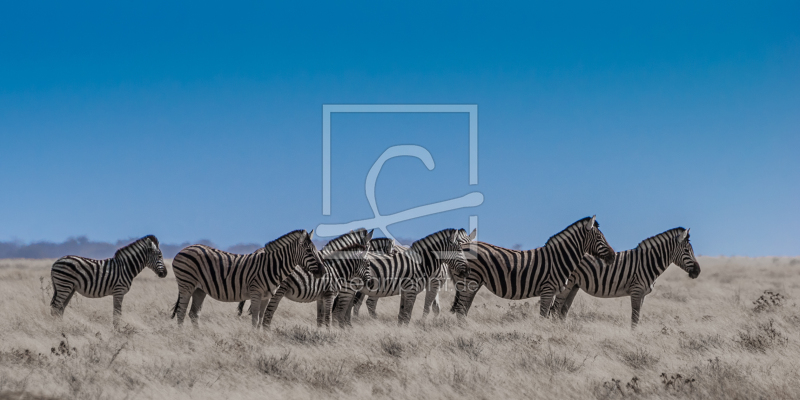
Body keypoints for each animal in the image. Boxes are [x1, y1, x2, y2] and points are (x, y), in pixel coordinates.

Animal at [172, 228, 324, 328]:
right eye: (309, 251)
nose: (323, 271)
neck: (272, 265)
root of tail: (184, 249)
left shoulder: (266, 296)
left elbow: (261, 318)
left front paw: (260, 338)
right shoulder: (256, 292)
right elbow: (255, 318)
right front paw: (254, 338)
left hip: (200, 289)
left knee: (193, 313)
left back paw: (196, 335)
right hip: (186, 284)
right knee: (181, 312)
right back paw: (182, 335)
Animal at [236, 228, 376, 328]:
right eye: (368, 262)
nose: (370, 283)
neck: (335, 267)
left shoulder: (321, 296)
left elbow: (320, 318)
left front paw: (321, 334)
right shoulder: (334, 294)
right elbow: (331, 316)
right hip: (277, 291)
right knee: (268, 313)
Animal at [336, 230, 476, 326]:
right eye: (460, 250)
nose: (469, 270)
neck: (421, 263)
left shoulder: (406, 291)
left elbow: (402, 314)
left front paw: (400, 330)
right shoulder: (414, 289)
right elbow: (410, 314)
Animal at [446, 216, 616, 318]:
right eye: (599, 237)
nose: (613, 256)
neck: (559, 258)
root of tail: (462, 246)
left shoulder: (552, 292)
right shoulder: (548, 290)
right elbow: (543, 317)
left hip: (473, 282)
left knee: (463, 310)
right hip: (470, 280)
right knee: (460, 310)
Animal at [552, 228, 700, 328]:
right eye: (686, 251)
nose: (698, 272)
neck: (648, 262)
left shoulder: (643, 294)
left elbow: (637, 317)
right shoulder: (636, 290)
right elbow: (634, 317)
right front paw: (633, 337)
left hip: (575, 285)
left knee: (563, 310)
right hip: (568, 283)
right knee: (555, 308)